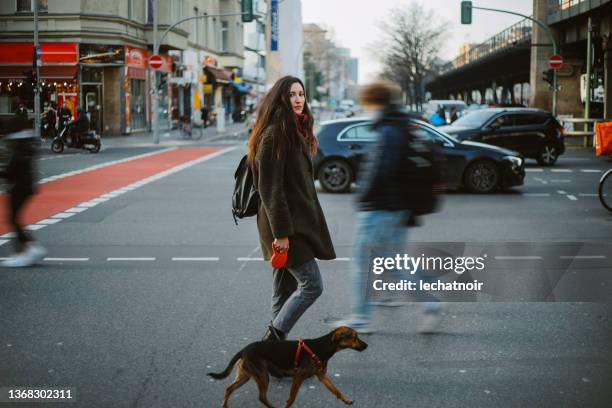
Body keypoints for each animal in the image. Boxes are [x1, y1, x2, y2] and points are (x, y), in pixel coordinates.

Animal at [206, 326, 368, 408]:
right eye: (354, 337)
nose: (366, 346)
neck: (323, 347)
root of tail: (244, 350)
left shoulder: (322, 376)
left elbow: (336, 390)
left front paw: (347, 400)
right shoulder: (299, 377)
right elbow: (291, 399)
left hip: (246, 375)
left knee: (229, 389)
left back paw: (225, 406)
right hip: (262, 376)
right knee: (262, 397)